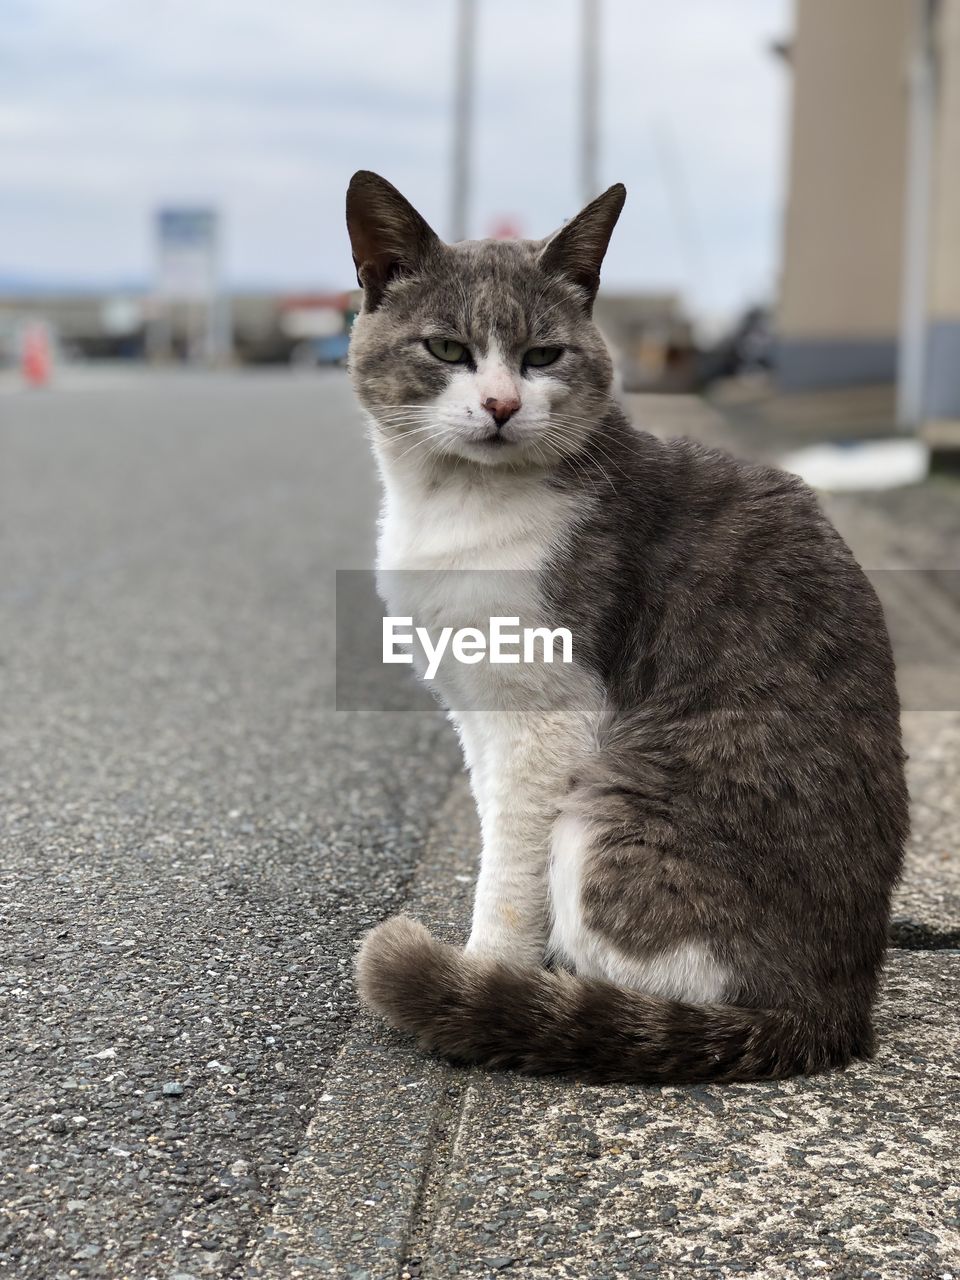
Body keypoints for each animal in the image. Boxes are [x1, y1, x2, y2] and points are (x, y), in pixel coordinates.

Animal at [345, 170, 911, 1085]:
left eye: (543, 357)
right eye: (447, 350)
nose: (501, 404)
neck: (458, 506)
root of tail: (833, 1011)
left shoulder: (549, 712)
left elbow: (512, 863)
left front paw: (486, 971)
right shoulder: (475, 705)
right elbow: (492, 820)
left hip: (613, 811)